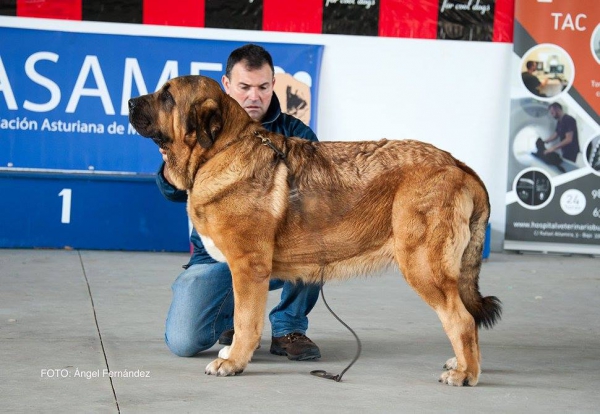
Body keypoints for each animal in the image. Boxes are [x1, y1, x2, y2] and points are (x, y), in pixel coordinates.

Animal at [130, 75, 502, 388]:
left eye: (167, 97)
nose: (131, 102)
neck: (220, 150)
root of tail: (458, 165)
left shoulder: (248, 268)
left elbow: (246, 321)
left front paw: (233, 362)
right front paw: (232, 353)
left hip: (423, 266)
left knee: (461, 319)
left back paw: (465, 373)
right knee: (463, 317)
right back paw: (460, 362)